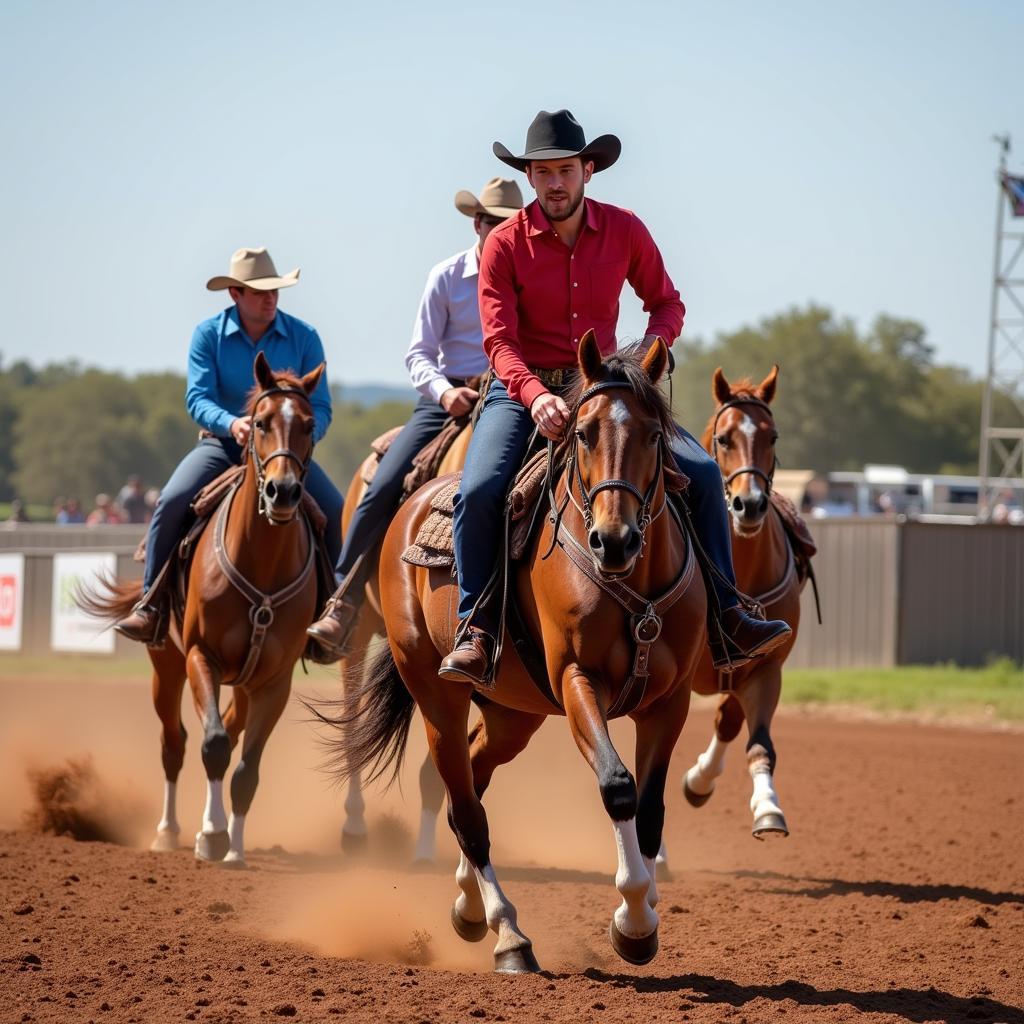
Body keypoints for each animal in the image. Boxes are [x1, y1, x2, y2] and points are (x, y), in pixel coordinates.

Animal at [80, 352, 323, 864]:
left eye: (310, 424)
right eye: (260, 422)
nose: (283, 492)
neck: (261, 563)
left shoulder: (275, 681)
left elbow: (246, 767)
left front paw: (234, 847)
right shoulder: (199, 657)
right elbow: (212, 745)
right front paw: (211, 835)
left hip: (245, 684)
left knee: (229, 733)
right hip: (166, 666)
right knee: (174, 743)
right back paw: (168, 831)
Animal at [315, 337, 708, 974]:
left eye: (654, 434)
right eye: (583, 434)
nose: (614, 540)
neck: (632, 583)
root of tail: (413, 503)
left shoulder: (667, 703)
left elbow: (650, 809)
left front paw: (645, 916)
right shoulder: (577, 680)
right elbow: (617, 786)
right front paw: (631, 920)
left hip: (512, 715)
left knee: (468, 787)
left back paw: (469, 909)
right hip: (436, 695)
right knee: (466, 808)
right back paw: (508, 936)